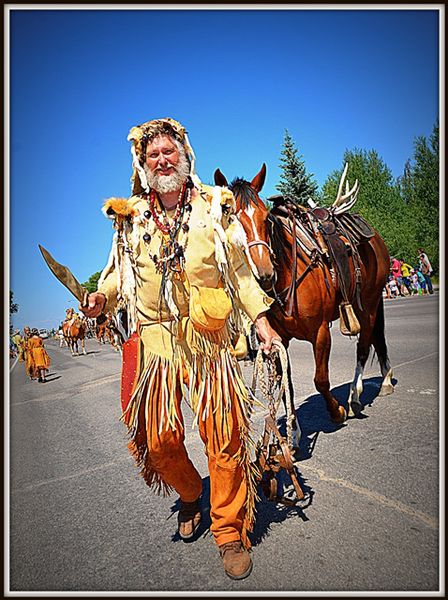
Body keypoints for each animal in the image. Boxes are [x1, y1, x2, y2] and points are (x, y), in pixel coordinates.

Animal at [215, 164, 394, 424]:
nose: (264, 273)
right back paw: (386, 379)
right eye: (230, 220)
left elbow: (320, 380)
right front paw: (293, 427)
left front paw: (336, 411)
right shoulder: (277, 339)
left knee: (364, 345)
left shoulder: (320, 333)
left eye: (266, 218)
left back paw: (355, 396)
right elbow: (284, 385)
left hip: (368, 303)